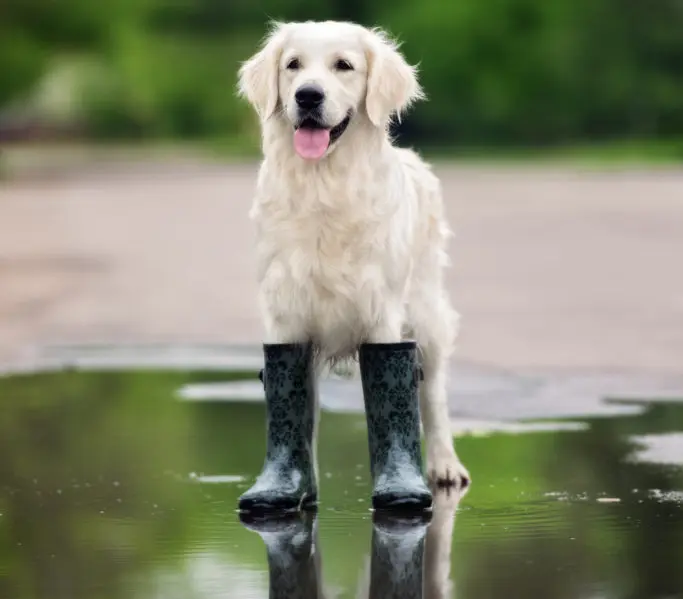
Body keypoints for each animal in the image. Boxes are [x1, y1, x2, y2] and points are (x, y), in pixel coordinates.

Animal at [236, 18, 470, 490]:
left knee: (432, 392)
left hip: (427, 314)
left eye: (343, 65)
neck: (324, 186)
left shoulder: (382, 312)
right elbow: (298, 411)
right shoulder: (286, 314)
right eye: (293, 65)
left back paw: (443, 465)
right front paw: (295, 484)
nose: (308, 95)